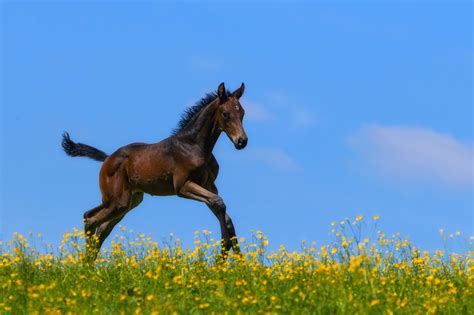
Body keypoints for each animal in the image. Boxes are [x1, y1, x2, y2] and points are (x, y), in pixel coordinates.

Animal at [62, 82, 248, 262]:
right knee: (90, 219)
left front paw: (239, 263)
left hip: (127, 201)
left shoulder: (209, 185)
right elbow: (219, 203)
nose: (242, 141)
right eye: (225, 113)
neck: (195, 146)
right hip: (117, 201)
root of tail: (107, 159)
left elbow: (225, 215)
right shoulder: (183, 186)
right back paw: (85, 265)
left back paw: (89, 266)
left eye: (242, 113)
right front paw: (223, 255)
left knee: (99, 227)